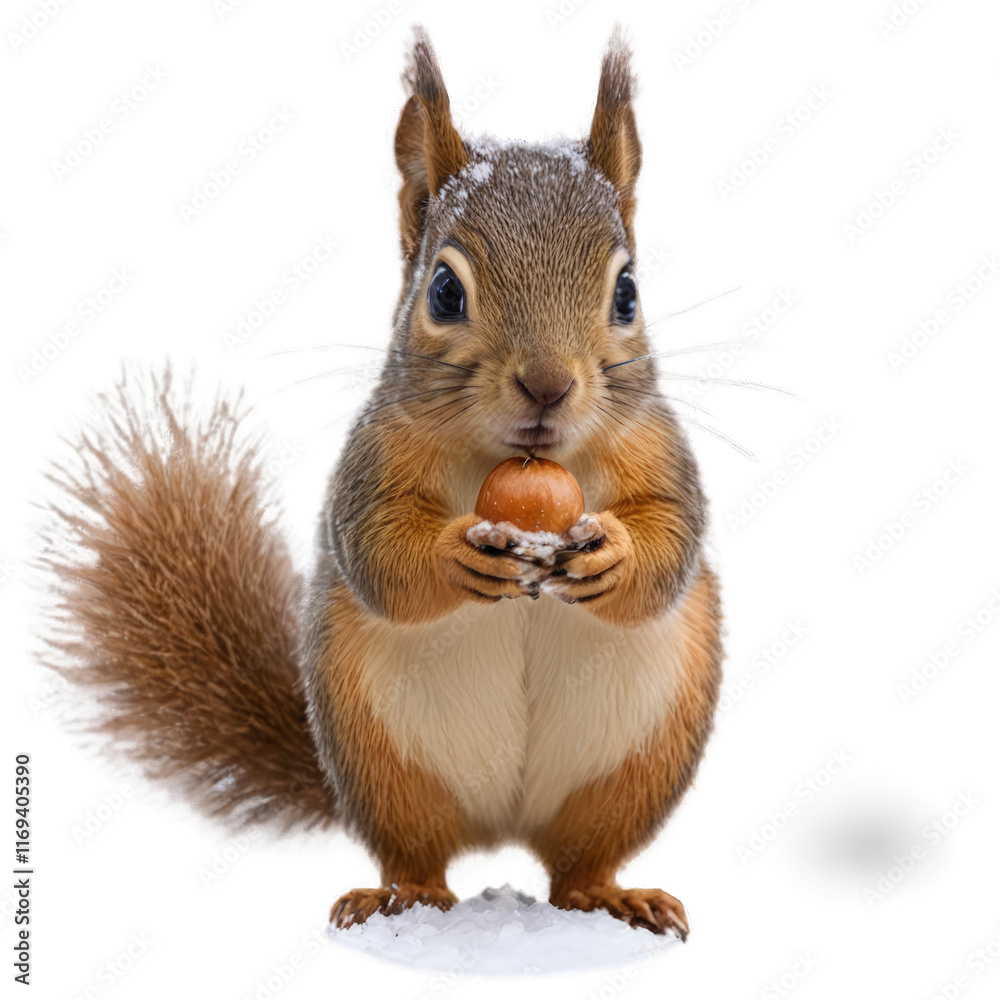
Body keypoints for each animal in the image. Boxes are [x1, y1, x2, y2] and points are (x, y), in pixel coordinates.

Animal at [43, 27, 722, 940]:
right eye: (443, 289)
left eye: (628, 292)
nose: (547, 386)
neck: (516, 462)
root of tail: (502, 828)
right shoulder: (368, 462)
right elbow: (376, 551)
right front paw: (457, 557)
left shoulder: (660, 449)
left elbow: (672, 537)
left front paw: (611, 554)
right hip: (377, 757)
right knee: (415, 848)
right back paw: (402, 897)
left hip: (639, 763)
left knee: (579, 860)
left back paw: (609, 897)